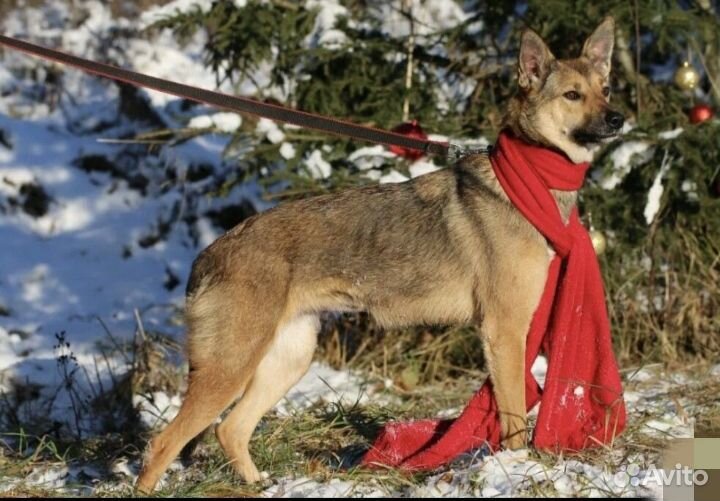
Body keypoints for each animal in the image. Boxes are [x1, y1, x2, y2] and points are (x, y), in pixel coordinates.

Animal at [136, 16, 624, 492]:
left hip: (288, 358)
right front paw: (516, 467)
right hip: (231, 367)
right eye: (572, 95)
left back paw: (258, 483)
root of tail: (211, 252)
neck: (531, 178)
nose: (619, 118)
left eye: (606, 88)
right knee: (163, 443)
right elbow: (514, 419)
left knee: (229, 429)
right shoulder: (504, 331)